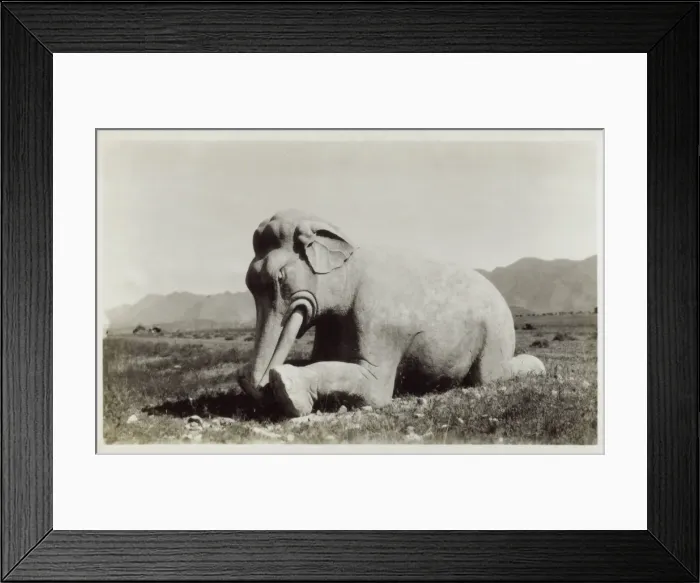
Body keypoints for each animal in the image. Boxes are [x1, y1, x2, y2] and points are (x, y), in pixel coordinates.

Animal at [238, 209, 545, 418]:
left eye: (280, 278)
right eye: (249, 283)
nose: (256, 384)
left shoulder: (376, 316)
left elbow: (375, 388)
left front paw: (287, 389)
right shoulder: (332, 323)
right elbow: (324, 360)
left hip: (497, 329)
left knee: (490, 376)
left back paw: (538, 368)